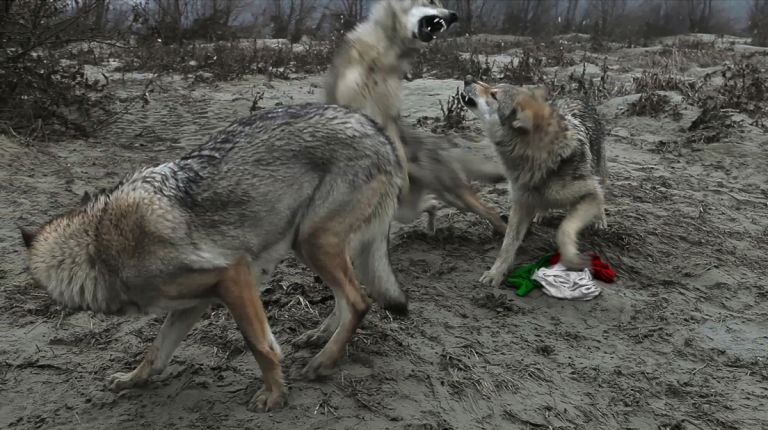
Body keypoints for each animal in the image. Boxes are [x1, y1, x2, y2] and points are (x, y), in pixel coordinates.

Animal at [16, 103, 408, 410]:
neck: (100, 247)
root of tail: (378, 131)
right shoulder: (192, 304)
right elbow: (155, 353)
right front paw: (131, 380)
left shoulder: (233, 276)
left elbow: (260, 346)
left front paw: (275, 394)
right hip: (311, 245)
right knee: (347, 299)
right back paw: (319, 338)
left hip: (313, 243)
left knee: (359, 301)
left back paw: (323, 361)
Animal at [324, 0, 510, 235]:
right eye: (431, 2)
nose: (454, 15)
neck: (382, 59)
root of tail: (438, 144)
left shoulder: (389, 115)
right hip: (420, 206)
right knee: (431, 203)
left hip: (455, 197)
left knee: (489, 212)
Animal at [460, 79, 608, 288]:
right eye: (491, 85)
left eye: (494, 94)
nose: (468, 78)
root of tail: (574, 94)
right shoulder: (521, 203)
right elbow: (508, 244)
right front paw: (495, 274)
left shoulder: (589, 193)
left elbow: (565, 229)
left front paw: (572, 258)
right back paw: (542, 213)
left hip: (599, 174)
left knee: (602, 194)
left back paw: (600, 220)